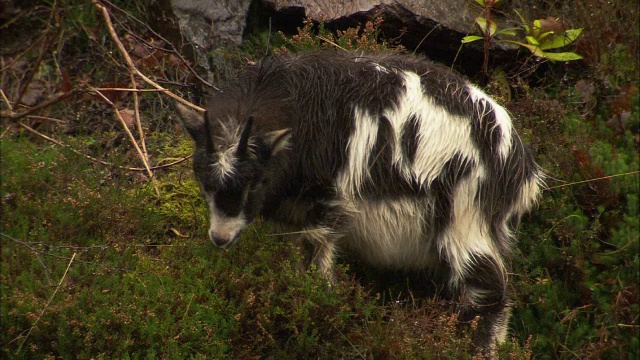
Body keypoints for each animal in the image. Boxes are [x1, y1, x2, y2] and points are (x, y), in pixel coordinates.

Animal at [175, 50, 544, 354]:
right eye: (203, 181)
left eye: (256, 183)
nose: (220, 238)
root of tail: (517, 161)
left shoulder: (325, 204)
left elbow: (317, 263)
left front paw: (315, 307)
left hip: (465, 217)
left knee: (490, 290)